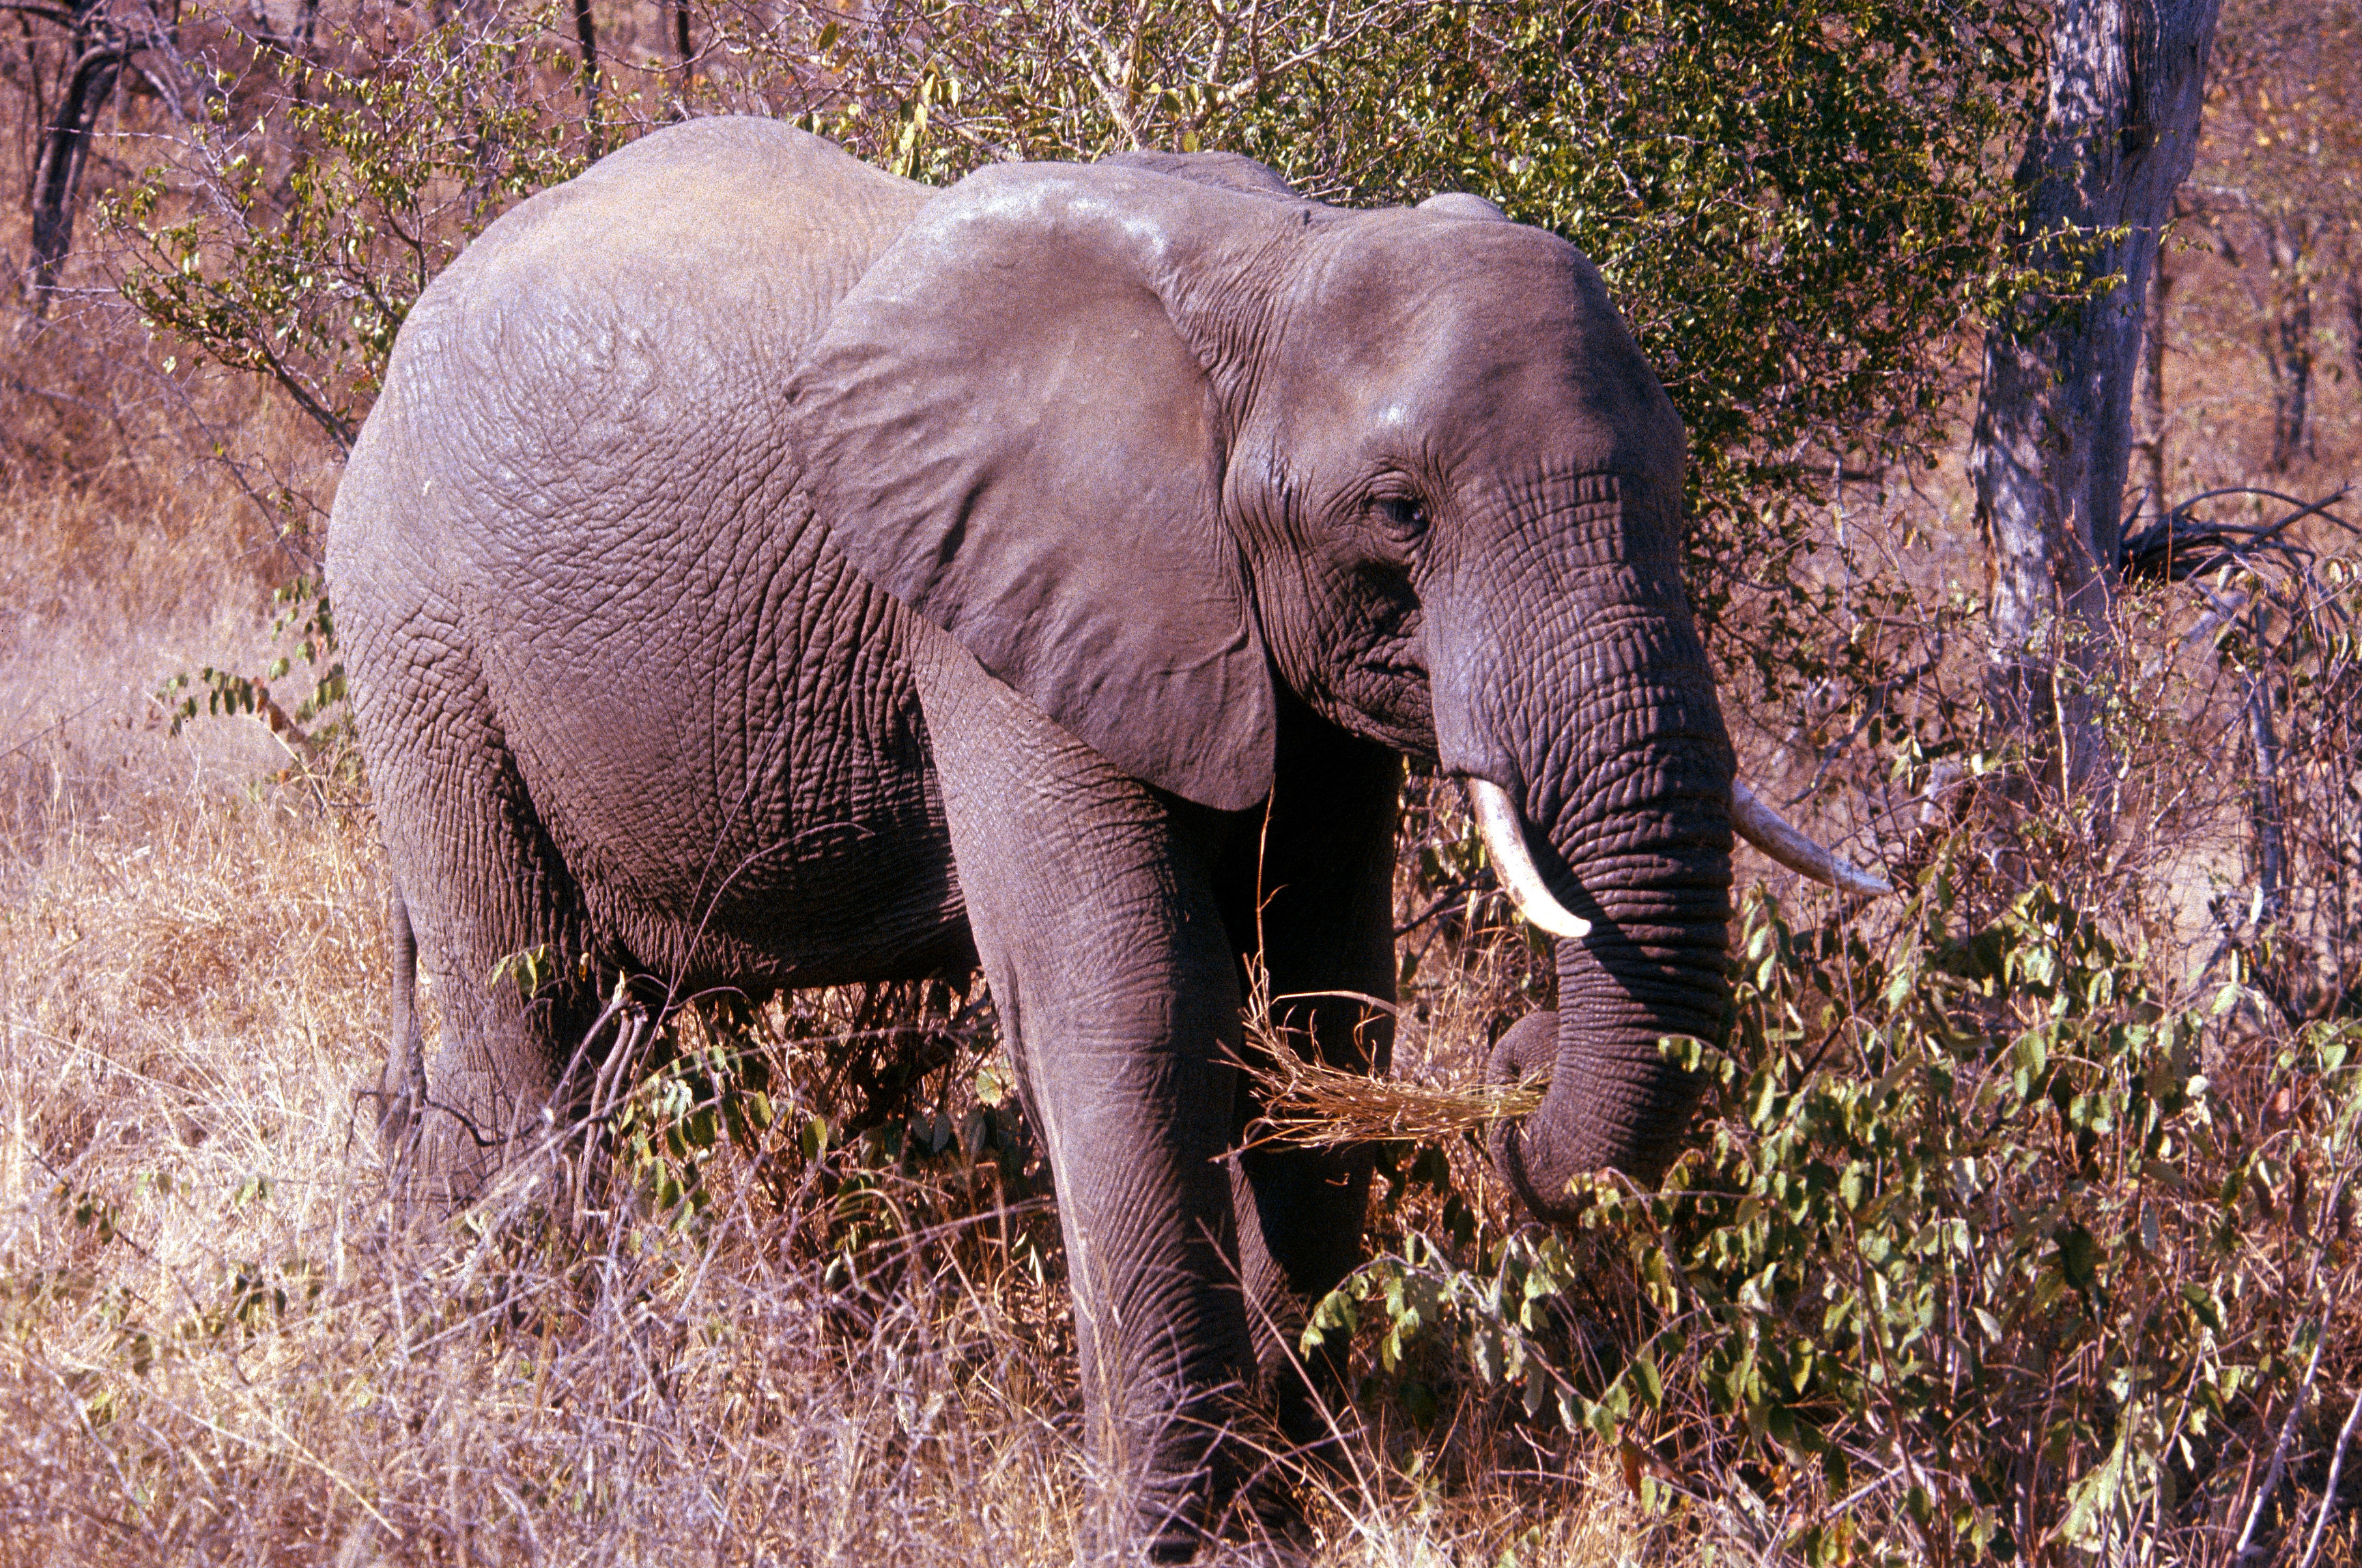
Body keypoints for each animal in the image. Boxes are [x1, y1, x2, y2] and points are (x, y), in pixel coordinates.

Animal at [332, 116, 1880, 1558]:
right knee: (530, 1023)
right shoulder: (992, 605)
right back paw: (549, 1415)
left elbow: (1327, 998)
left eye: (1677, 481)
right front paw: (1160, 1538)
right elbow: (1129, 1009)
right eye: (1399, 512)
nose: (1517, 1053)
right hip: (416, 625)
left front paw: (1273, 1496)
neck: (1275, 265)